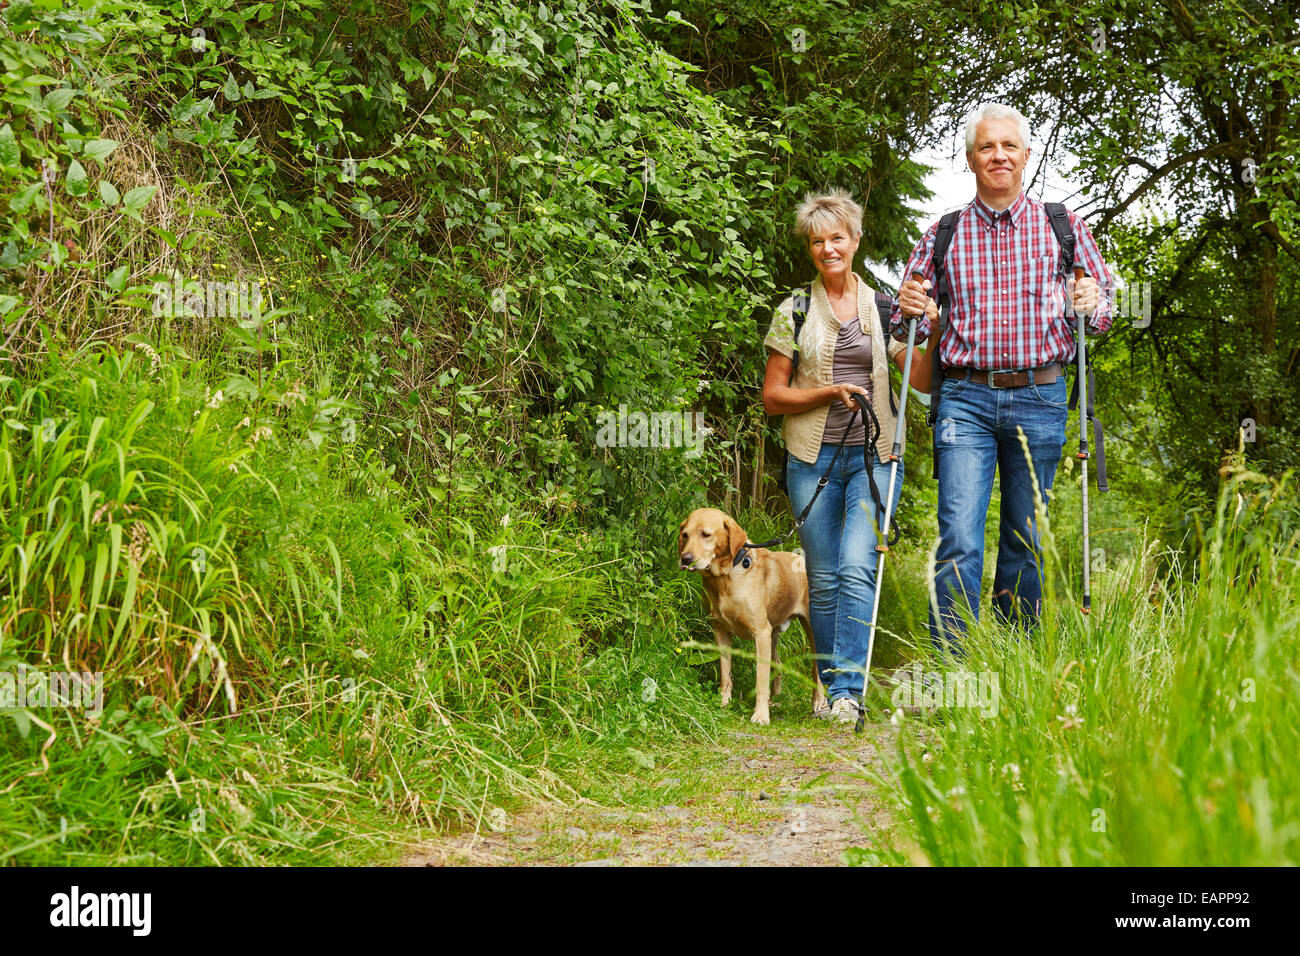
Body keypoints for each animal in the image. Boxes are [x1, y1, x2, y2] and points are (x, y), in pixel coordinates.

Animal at [676, 509, 826, 723]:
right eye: (685, 535)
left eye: (706, 534)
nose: (685, 558)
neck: (725, 577)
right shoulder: (721, 632)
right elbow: (726, 675)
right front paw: (723, 702)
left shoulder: (760, 633)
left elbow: (760, 681)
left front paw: (761, 715)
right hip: (773, 635)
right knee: (778, 664)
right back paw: (776, 700)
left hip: (810, 629)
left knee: (816, 669)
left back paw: (818, 702)